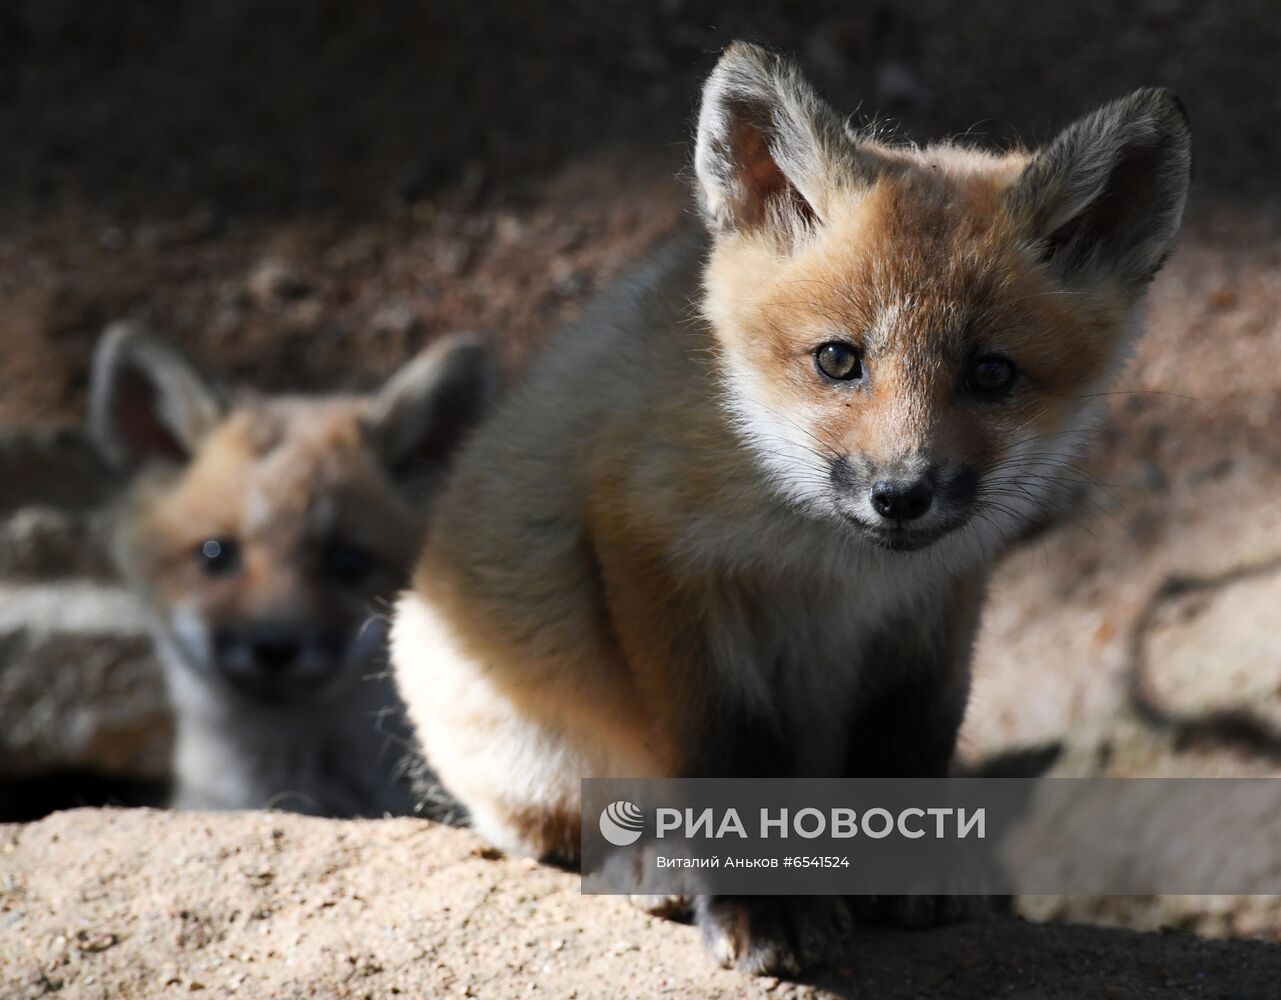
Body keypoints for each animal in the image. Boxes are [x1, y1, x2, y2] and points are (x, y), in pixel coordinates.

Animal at [389, 42, 1188, 973]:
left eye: (991, 374)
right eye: (837, 360)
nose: (899, 494)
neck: (829, 565)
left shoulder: (940, 598)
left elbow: (908, 740)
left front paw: (901, 872)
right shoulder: (658, 558)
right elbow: (728, 755)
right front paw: (760, 904)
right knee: (546, 828)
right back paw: (647, 862)